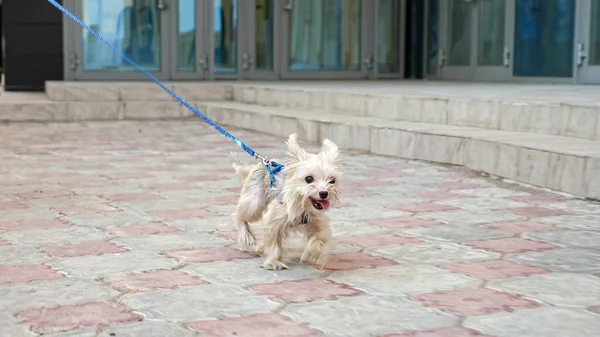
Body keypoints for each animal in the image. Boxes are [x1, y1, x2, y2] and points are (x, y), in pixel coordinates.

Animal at [230, 133, 342, 270]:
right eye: (309, 179)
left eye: (332, 180)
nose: (324, 193)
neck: (301, 204)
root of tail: (263, 163)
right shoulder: (274, 221)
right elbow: (274, 244)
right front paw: (273, 262)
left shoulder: (316, 221)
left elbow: (319, 238)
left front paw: (314, 252)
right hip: (253, 204)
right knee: (239, 216)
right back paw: (246, 236)